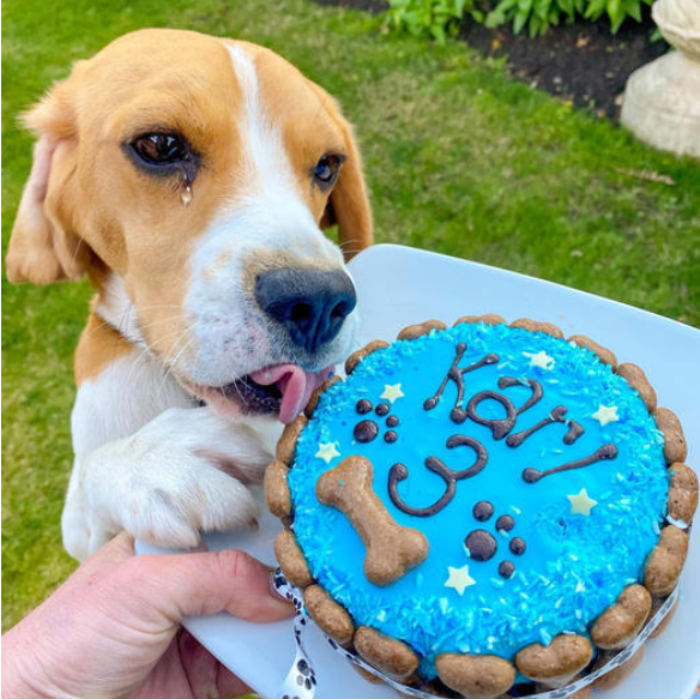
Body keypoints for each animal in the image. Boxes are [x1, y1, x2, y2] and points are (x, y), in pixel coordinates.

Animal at [6, 28, 372, 564]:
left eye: (328, 165)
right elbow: (93, 471)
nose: (321, 303)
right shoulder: (80, 533)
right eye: (160, 145)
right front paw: (155, 462)